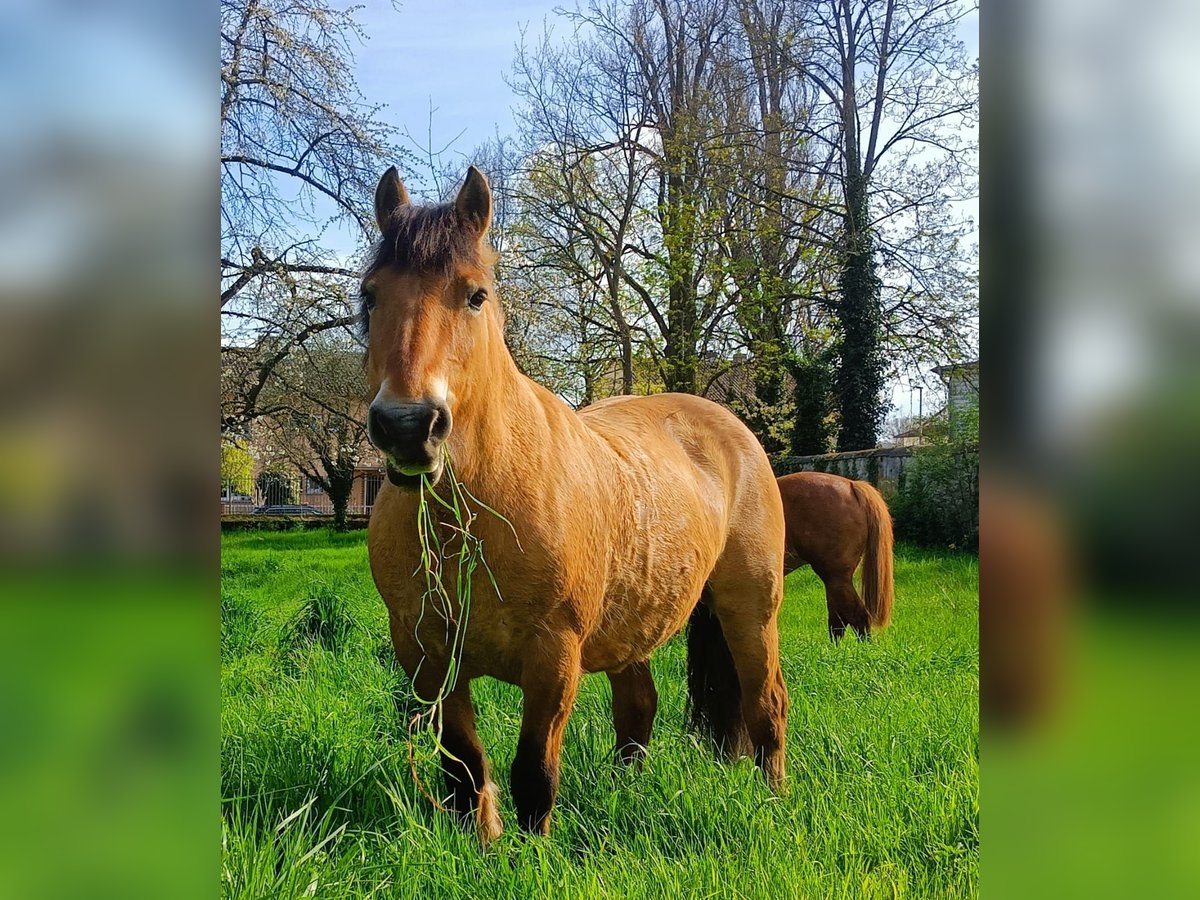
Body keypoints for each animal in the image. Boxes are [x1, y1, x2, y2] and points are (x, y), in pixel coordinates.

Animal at [360, 168, 792, 844]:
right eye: (371, 295)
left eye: (476, 295)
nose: (408, 426)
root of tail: (730, 426)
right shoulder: (426, 656)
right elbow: (465, 768)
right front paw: (484, 846)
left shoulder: (553, 656)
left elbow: (534, 772)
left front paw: (530, 853)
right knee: (638, 707)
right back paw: (626, 791)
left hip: (750, 609)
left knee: (766, 703)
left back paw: (774, 800)